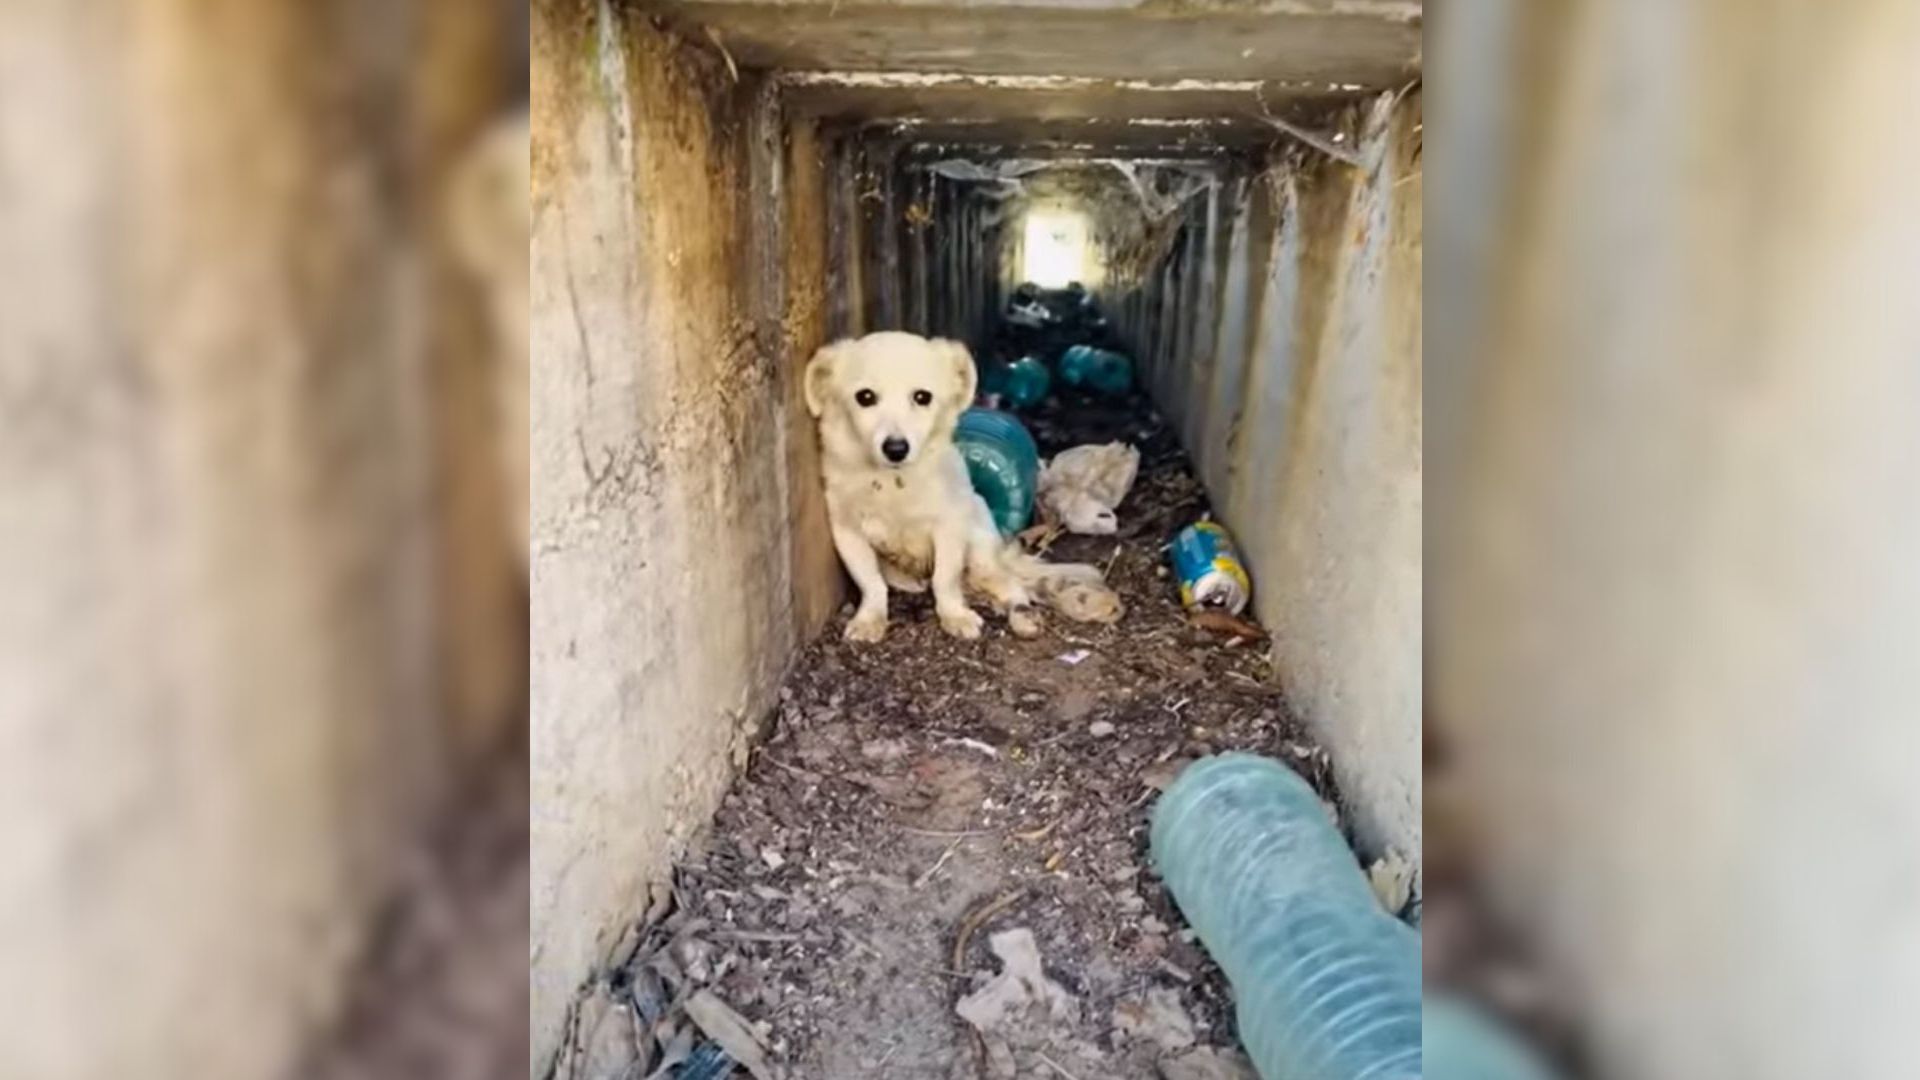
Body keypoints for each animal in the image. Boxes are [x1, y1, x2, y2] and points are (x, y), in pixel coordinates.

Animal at [798, 332, 1121, 638]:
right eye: (864, 397)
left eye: (922, 397)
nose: (896, 449)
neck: (896, 483)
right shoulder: (847, 531)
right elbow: (871, 582)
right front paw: (869, 619)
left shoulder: (949, 527)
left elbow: (945, 579)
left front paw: (955, 616)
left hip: (979, 547)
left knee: (1007, 584)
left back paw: (1021, 614)